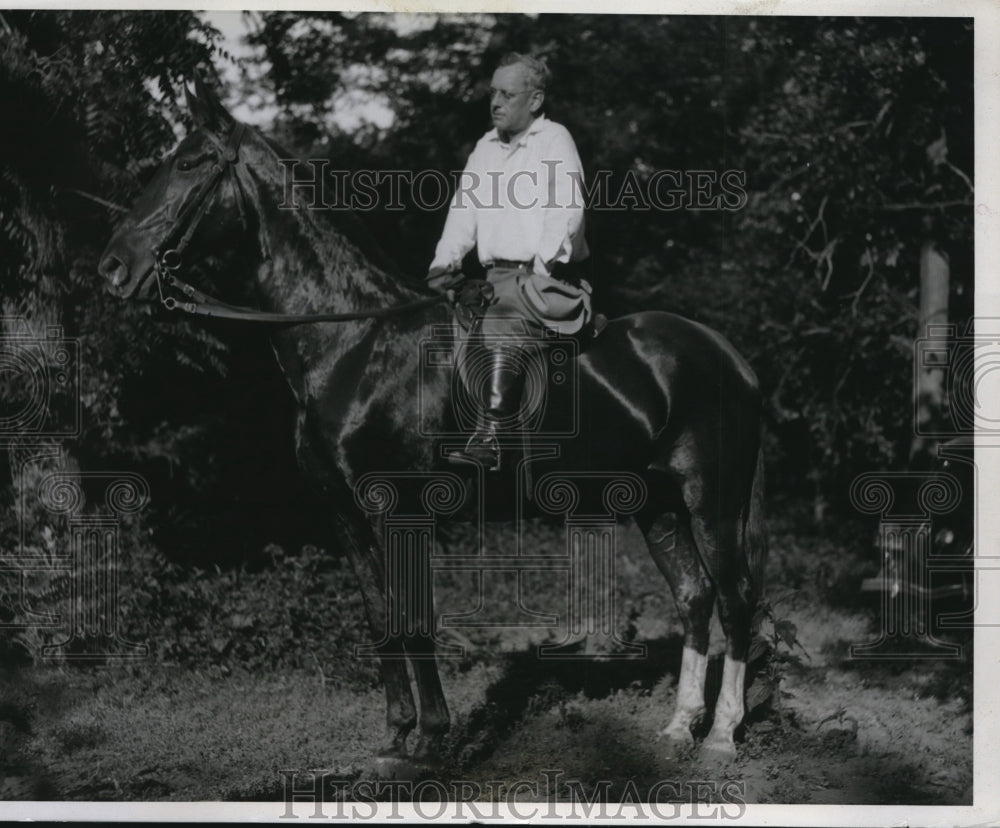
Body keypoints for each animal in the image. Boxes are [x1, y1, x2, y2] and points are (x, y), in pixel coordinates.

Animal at [99, 81, 764, 772]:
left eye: (189, 163)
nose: (114, 267)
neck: (355, 345)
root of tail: (727, 356)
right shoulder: (345, 515)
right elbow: (380, 616)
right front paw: (395, 733)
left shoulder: (403, 507)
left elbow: (415, 616)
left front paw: (429, 738)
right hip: (657, 503)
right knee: (694, 596)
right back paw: (678, 727)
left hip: (711, 500)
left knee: (736, 598)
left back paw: (721, 734)